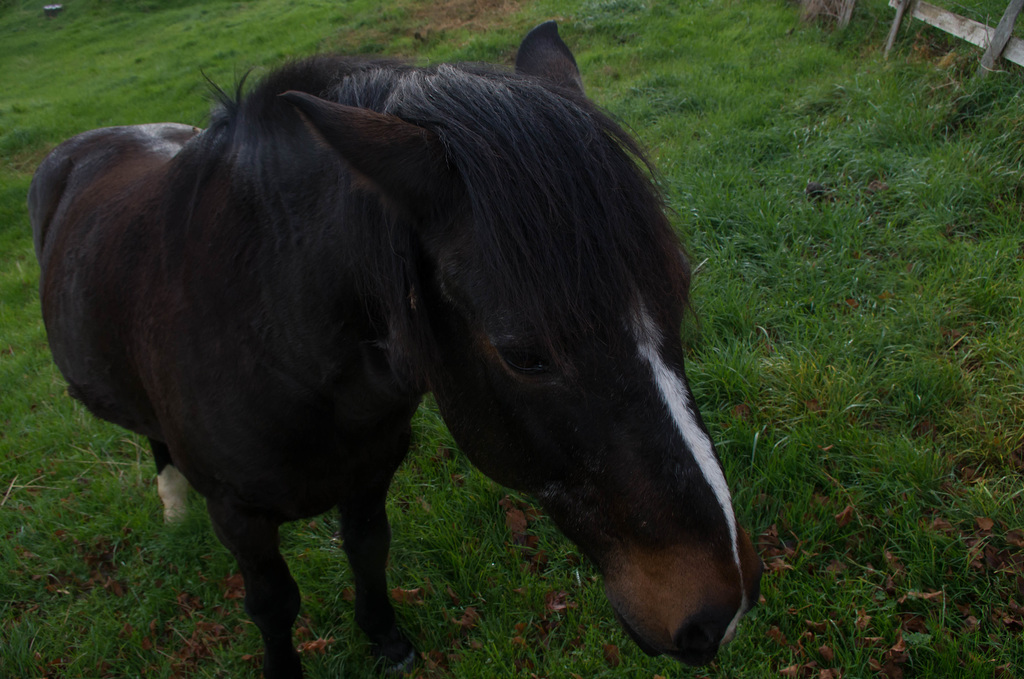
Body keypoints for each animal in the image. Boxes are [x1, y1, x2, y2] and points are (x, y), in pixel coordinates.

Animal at [29, 22, 761, 679]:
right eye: (524, 354)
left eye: (679, 292)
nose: (719, 612)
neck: (271, 339)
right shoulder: (239, 516)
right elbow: (272, 605)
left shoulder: (373, 465)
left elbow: (367, 549)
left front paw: (385, 639)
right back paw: (172, 503)